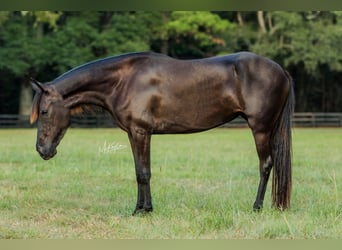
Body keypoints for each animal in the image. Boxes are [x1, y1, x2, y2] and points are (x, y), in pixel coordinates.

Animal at [30, 51, 296, 215]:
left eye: (44, 111)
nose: (42, 150)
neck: (124, 80)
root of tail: (282, 71)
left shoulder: (141, 131)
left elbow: (144, 173)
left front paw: (142, 211)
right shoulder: (134, 133)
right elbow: (139, 170)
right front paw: (142, 208)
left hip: (260, 129)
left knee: (266, 165)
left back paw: (256, 207)